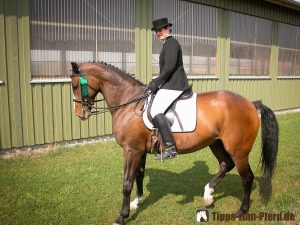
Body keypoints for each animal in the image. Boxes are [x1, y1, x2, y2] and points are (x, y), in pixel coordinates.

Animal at [69, 61, 278, 225]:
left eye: (74, 85)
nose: (80, 114)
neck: (129, 103)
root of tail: (251, 104)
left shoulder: (131, 150)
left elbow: (127, 182)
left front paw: (122, 216)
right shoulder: (140, 150)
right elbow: (139, 175)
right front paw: (137, 201)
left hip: (239, 151)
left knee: (247, 177)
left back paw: (241, 210)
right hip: (216, 143)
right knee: (226, 164)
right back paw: (208, 195)